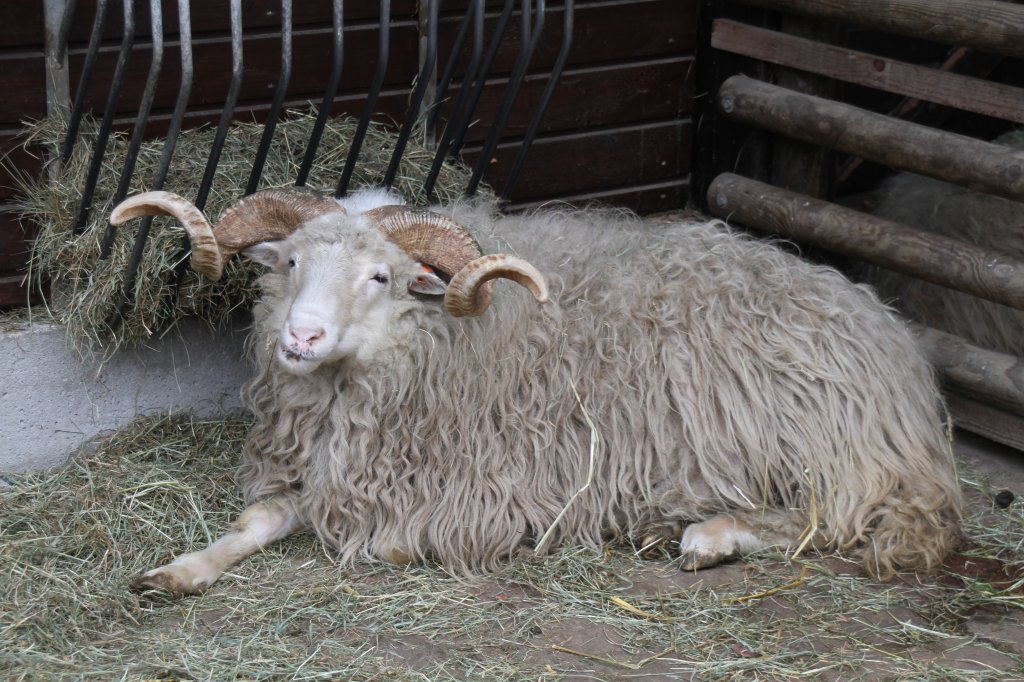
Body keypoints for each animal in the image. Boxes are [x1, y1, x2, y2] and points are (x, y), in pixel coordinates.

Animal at [108, 188, 962, 593]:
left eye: (381, 276)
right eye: (290, 262)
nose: (302, 338)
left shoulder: (479, 497)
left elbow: (385, 540)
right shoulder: (322, 471)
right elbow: (254, 522)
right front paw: (177, 572)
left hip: (814, 443)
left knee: (831, 517)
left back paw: (705, 535)